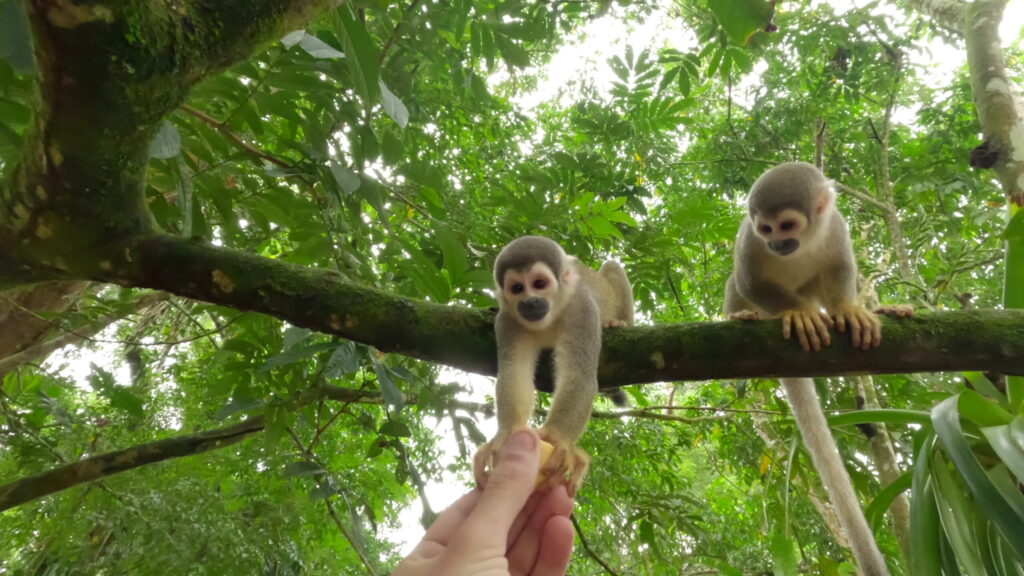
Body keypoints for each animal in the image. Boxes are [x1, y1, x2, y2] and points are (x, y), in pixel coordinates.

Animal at [473, 235, 634, 496]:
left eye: (539, 284)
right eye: (517, 288)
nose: (530, 302)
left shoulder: (582, 308)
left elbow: (580, 374)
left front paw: (557, 437)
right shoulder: (507, 319)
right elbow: (514, 372)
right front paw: (504, 436)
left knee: (612, 267)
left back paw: (617, 322)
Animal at [724, 162, 893, 576]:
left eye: (786, 226)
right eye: (766, 228)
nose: (776, 244)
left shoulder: (836, 227)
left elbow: (839, 267)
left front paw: (846, 309)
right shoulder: (749, 241)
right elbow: (749, 281)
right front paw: (797, 312)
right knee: (738, 286)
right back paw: (747, 315)